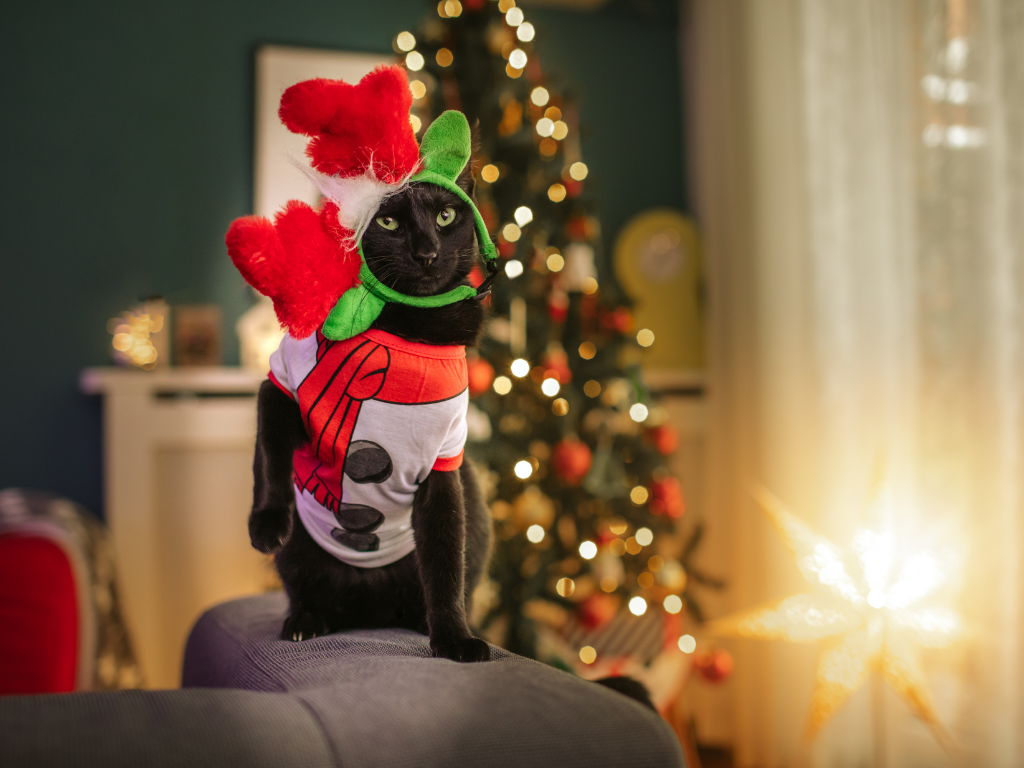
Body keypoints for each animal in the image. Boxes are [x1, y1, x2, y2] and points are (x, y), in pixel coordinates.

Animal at [245, 156, 489, 663]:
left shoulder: (444, 467)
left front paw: (454, 639)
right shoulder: (279, 385)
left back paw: (422, 622)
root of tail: (373, 611)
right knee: (309, 591)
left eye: (445, 217)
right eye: (388, 222)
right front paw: (266, 522)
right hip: (301, 553)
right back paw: (305, 622)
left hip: (473, 499)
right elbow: (269, 457)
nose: (426, 252)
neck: (405, 328)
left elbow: (445, 564)